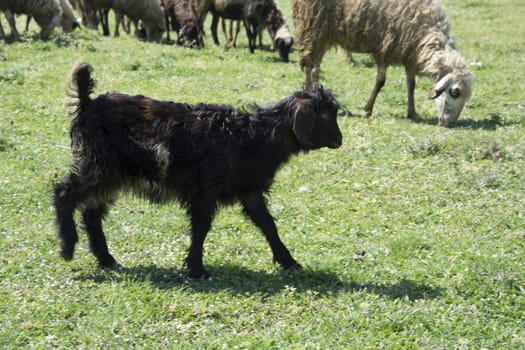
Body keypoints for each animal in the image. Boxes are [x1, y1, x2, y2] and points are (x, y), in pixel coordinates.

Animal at [292, 0, 472, 127]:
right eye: (455, 92)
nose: (450, 124)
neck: (426, 34)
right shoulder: (384, 49)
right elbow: (380, 82)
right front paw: (368, 109)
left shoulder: (409, 56)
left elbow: (411, 85)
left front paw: (412, 112)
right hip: (314, 27)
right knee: (310, 68)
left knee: (314, 68)